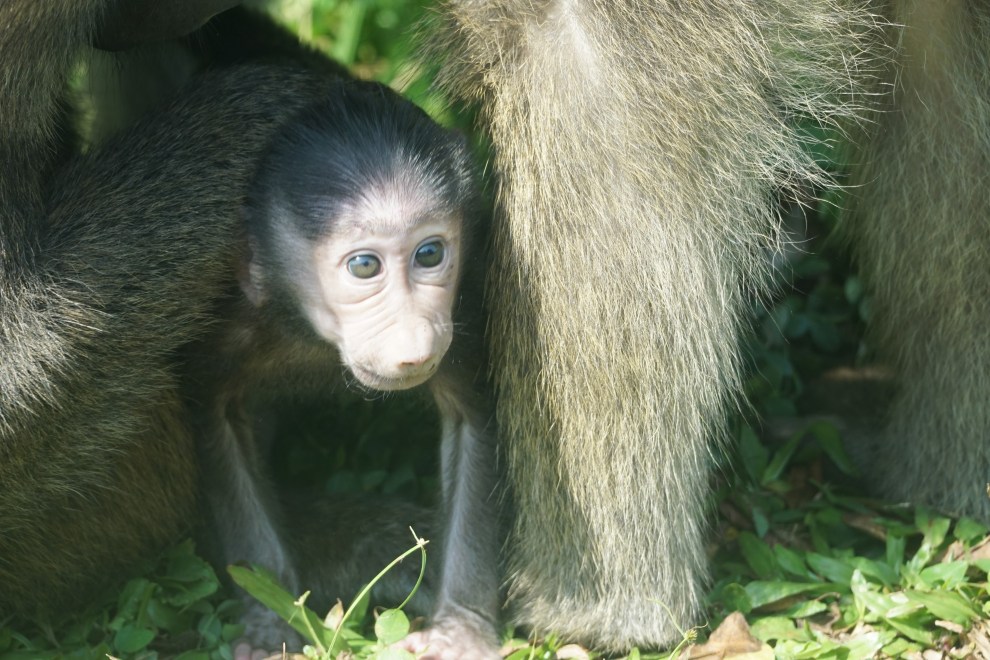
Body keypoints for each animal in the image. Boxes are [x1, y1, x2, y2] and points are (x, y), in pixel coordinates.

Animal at [180, 76, 500, 659]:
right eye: (364, 266)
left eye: (430, 254)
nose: (414, 341)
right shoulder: (224, 325)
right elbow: (220, 425)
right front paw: (269, 618)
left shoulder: (463, 308)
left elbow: (472, 422)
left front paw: (462, 630)